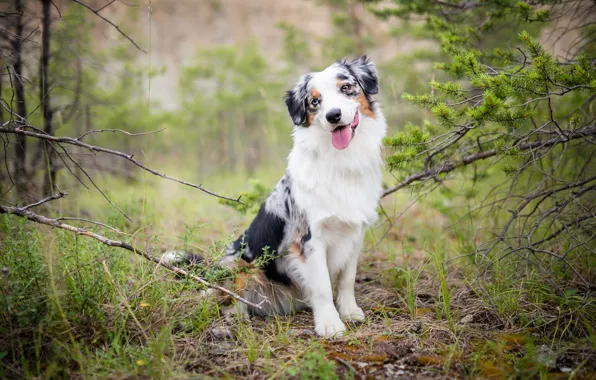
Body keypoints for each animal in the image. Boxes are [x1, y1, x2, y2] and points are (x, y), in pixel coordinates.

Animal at [165, 55, 386, 336]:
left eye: (346, 88)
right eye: (315, 102)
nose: (333, 116)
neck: (340, 161)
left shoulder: (355, 231)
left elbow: (347, 279)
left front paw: (350, 312)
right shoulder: (307, 239)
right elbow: (323, 287)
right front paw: (330, 324)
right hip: (240, 264)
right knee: (220, 296)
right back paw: (235, 317)